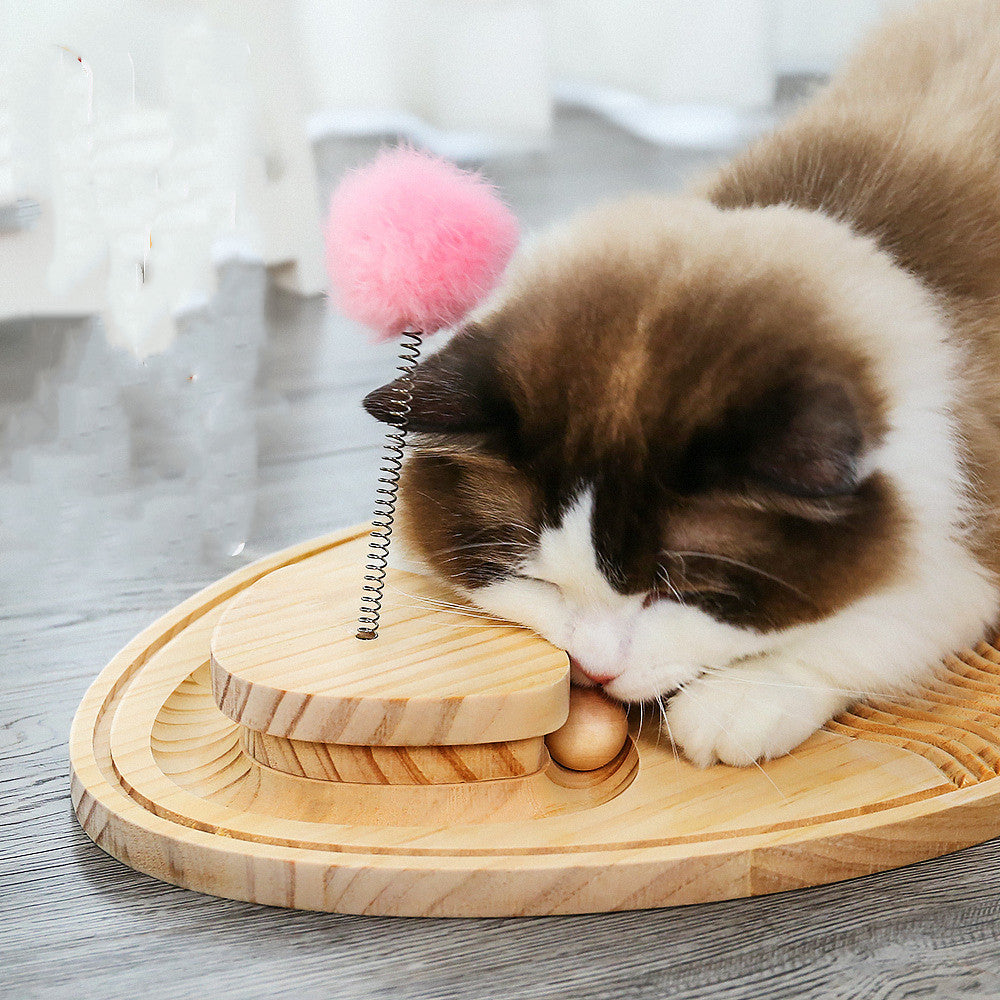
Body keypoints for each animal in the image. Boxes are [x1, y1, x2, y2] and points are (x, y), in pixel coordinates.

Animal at [364, 0, 1000, 764]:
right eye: (536, 580)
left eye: (678, 593)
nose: (595, 670)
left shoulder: (972, 525)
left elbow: (876, 628)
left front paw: (735, 705)